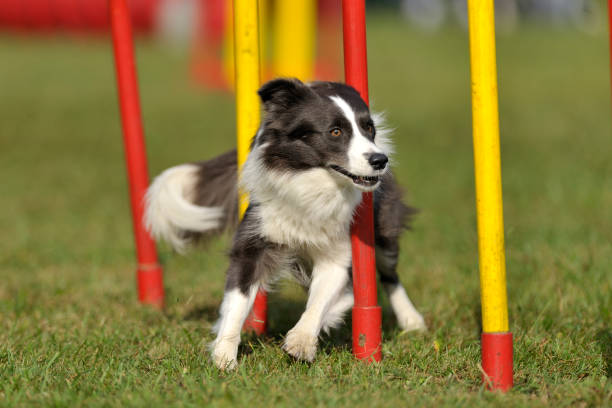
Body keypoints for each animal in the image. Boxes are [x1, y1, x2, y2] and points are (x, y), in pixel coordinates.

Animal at [146, 78, 428, 368]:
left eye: (369, 128)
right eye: (335, 131)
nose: (380, 160)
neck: (311, 181)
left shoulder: (339, 249)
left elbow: (320, 300)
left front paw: (301, 342)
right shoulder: (256, 237)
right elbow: (238, 300)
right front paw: (224, 356)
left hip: (382, 227)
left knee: (389, 274)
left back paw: (411, 320)